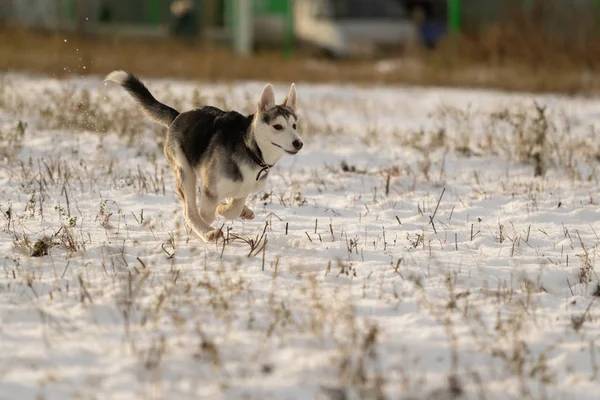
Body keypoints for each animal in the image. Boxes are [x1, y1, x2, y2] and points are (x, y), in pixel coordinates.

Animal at [105, 70, 302, 242]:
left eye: (294, 126)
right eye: (277, 127)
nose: (298, 143)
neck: (250, 149)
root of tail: (178, 116)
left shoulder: (243, 189)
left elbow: (234, 207)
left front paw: (232, 209)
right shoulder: (209, 189)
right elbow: (206, 213)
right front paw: (213, 218)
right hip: (185, 172)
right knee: (190, 211)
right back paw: (208, 232)